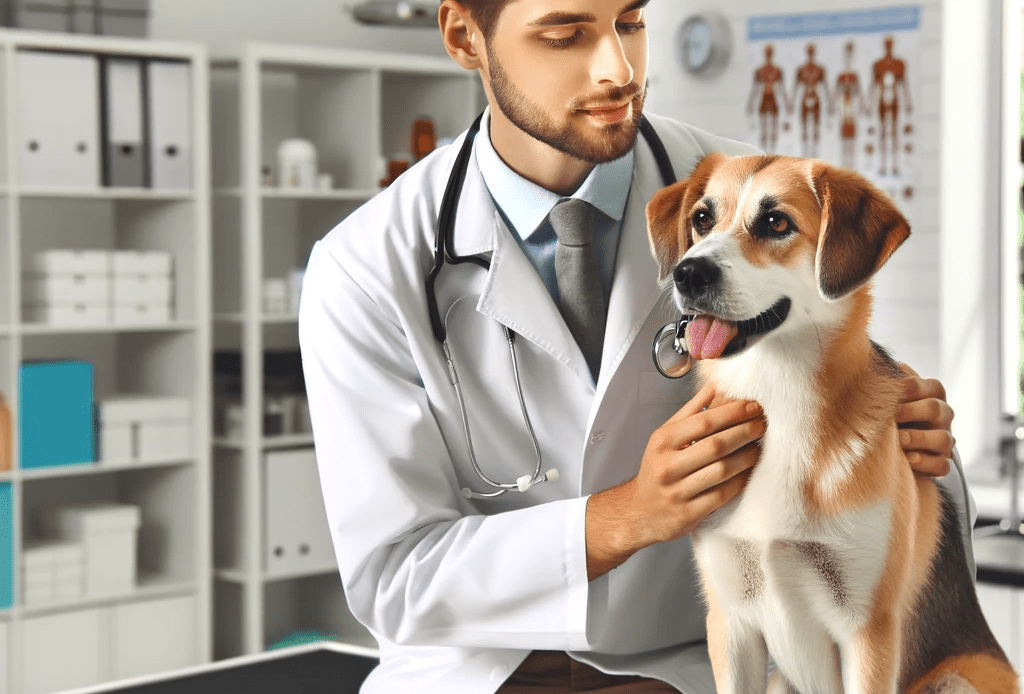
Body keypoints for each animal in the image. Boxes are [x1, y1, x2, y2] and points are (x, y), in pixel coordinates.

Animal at [643, 154, 1019, 694]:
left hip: (954, 680)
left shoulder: (868, 632)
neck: (780, 396)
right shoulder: (731, 624)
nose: (688, 273)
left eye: (776, 222)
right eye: (701, 218)